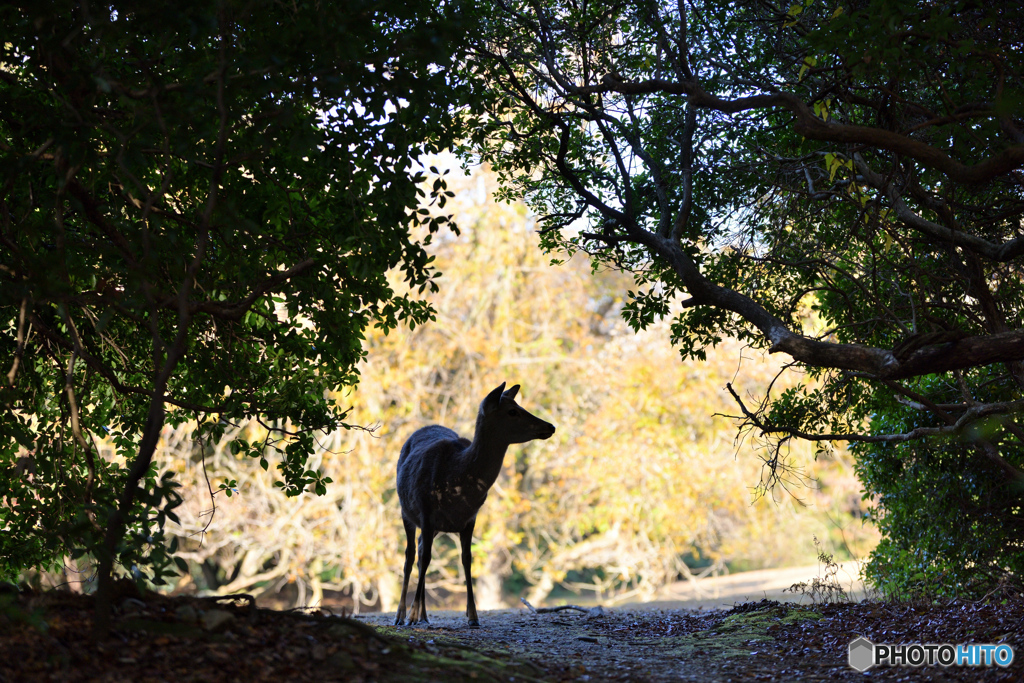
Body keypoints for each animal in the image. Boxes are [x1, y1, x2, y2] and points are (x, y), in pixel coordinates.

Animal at [393, 382, 557, 626]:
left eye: (519, 405)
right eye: (513, 411)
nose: (550, 426)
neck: (457, 483)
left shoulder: (470, 517)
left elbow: (467, 560)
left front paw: (473, 616)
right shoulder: (426, 511)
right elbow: (424, 558)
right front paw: (411, 616)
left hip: (434, 526)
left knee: (422, 551)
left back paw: (424, 615)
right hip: (406, 511)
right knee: (411, 555)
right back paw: (402, 615)